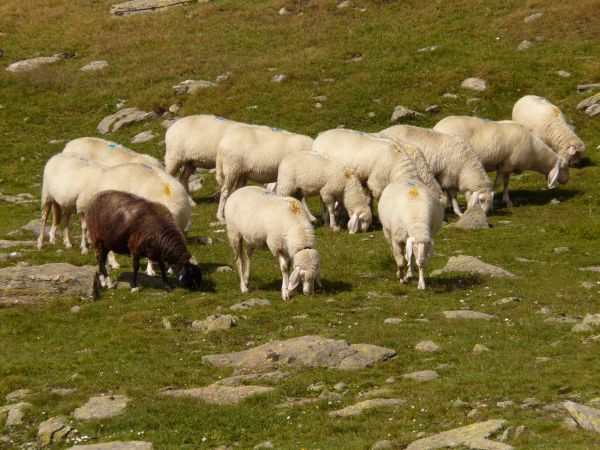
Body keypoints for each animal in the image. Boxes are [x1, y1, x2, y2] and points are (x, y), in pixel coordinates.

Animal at [434, 116, 568, 207]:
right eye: (565, 166)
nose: (567, 180)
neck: (533, 150)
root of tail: (436, 127)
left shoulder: (508, 164)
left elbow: (506, 182)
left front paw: (507, 201)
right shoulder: (506, 165)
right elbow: (498, 183)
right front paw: (493, 202)